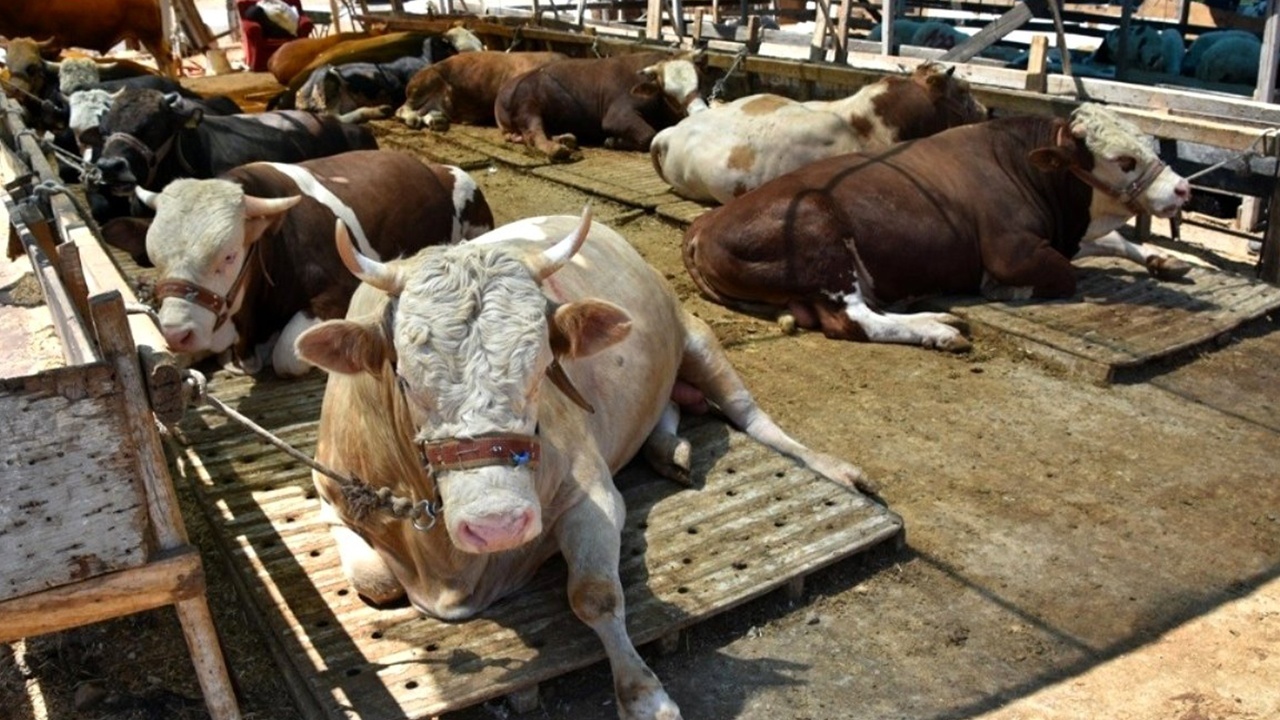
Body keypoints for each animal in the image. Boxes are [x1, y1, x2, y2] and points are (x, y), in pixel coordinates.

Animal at [294, 207, 865, 717]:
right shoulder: (328, 491)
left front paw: (645, 696)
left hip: (697, 334)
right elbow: (376, 579)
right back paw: (669, 451)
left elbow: (595, 594)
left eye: (544, 368)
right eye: (405, 379)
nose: (497, 524)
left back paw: (838, 470)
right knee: (671, 404)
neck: (448, 570)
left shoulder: (592, 492)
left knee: (752, 417)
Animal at [491, 50, 711, 161]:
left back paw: (566, 139)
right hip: (528, 106)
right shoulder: (617, 115)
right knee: (534, 134)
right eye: (669, 93)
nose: (699, 111)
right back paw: (557, 148)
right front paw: (613, 141)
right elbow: (648, 135)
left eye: (701, 82)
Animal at [686, 103, 1192, 351]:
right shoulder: (1013, 252)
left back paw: (938, 317)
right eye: (1123, 161)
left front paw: (1164, 258)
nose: (1183, 188)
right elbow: (1067, 273)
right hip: (819, 235)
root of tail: (703, 225)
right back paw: (938, 330)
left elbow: (1112, 239)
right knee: (854, 320)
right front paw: (1006, 291)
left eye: (1150, 145)